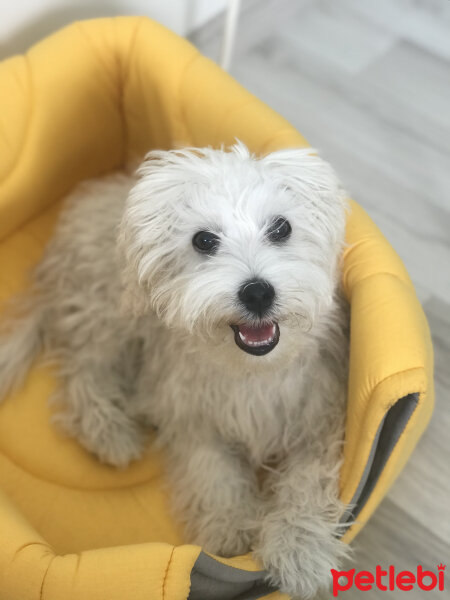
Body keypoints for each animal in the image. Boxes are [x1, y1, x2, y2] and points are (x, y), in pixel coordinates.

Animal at [0, 143, 350, 596]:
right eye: (203, 240)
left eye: (281, 227)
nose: (257, 292)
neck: (251, 370)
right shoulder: (191, 418)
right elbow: (214, 474)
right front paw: (228, 528)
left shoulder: (319, 423)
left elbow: (304, 483)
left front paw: (298, 549)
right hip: (110, 313)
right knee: (82, 369)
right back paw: (109, 431)